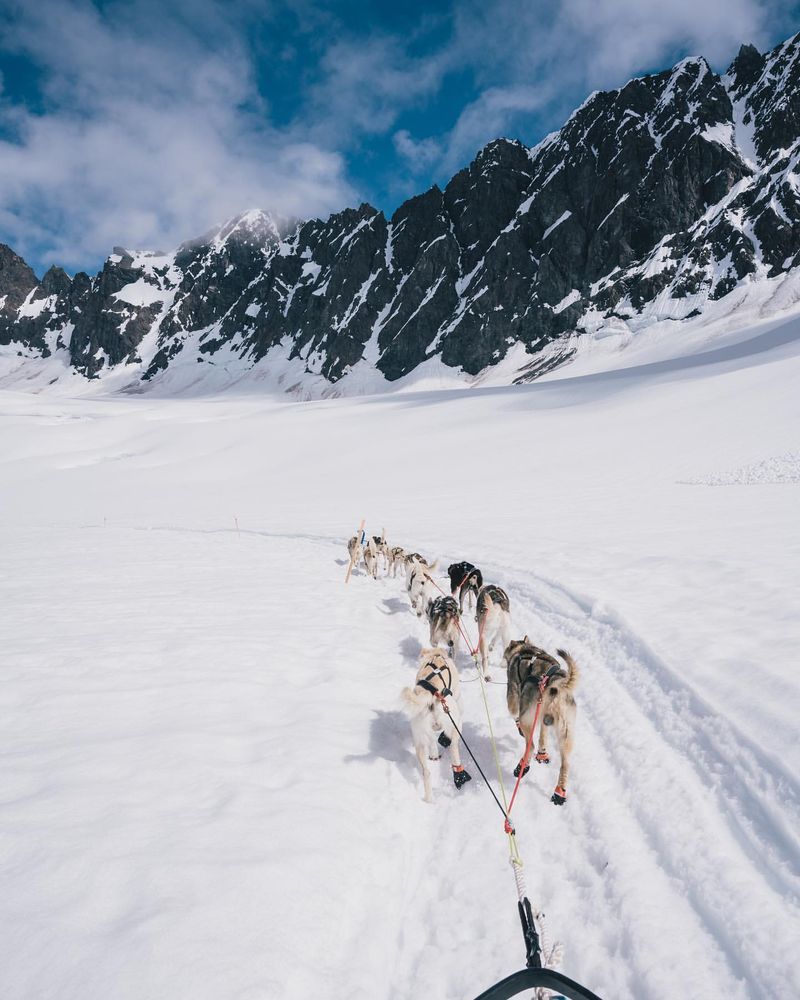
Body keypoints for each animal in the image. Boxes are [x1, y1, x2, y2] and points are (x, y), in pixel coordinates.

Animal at [400, 648, 468, 804]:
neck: (435, 655)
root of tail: (431, 695)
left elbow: (432, 740)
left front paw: (434, 753)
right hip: (454, 725)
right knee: (454, 749)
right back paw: (460, 777)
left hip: (419, 739)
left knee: (426, 772)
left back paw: (429, 799)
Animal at [506, 636, 580, 808]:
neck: (525, 650)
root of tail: (558, 684)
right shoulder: (543, 720)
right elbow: (543, 736)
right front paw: (543, 754)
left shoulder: (513, 698)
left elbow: (514, 713)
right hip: (565, 731)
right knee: (565, 764)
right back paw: (559, 793)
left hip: (527, 717)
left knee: (530, 745)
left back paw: (522, 766)